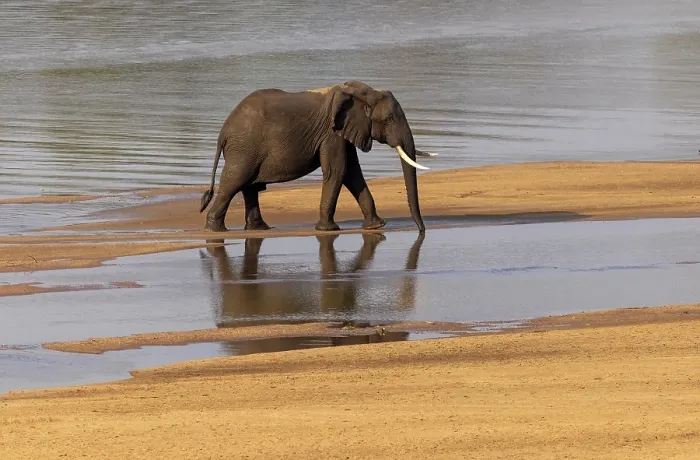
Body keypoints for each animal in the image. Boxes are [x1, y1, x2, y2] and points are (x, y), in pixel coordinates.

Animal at [199, 80, 436, 233]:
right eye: (389, 119)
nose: (421, 231)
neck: (360, 91)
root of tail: (223, 132)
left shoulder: (344, 131)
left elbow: (352, 173)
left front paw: (377, 226)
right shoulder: (331, 133)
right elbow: (338, 170)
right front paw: (328, 229)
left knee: (249, 187)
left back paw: (259, 229)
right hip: (244, 149)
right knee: (234, 183)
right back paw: (215, 230)